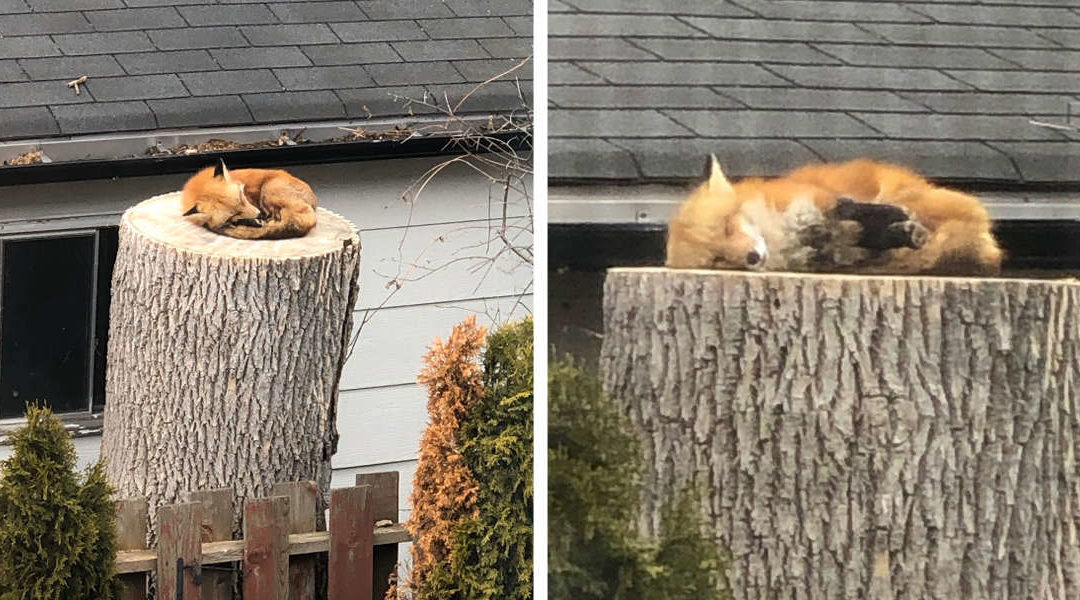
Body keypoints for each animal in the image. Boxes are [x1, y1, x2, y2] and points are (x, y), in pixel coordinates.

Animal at [665, 156, 1003, 276]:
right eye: (718, 260)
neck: (781, 237)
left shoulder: (816, 202)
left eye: (727, 226)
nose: (751, 257)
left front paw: (888, 221)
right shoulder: (831, 251)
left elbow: (848, 210)